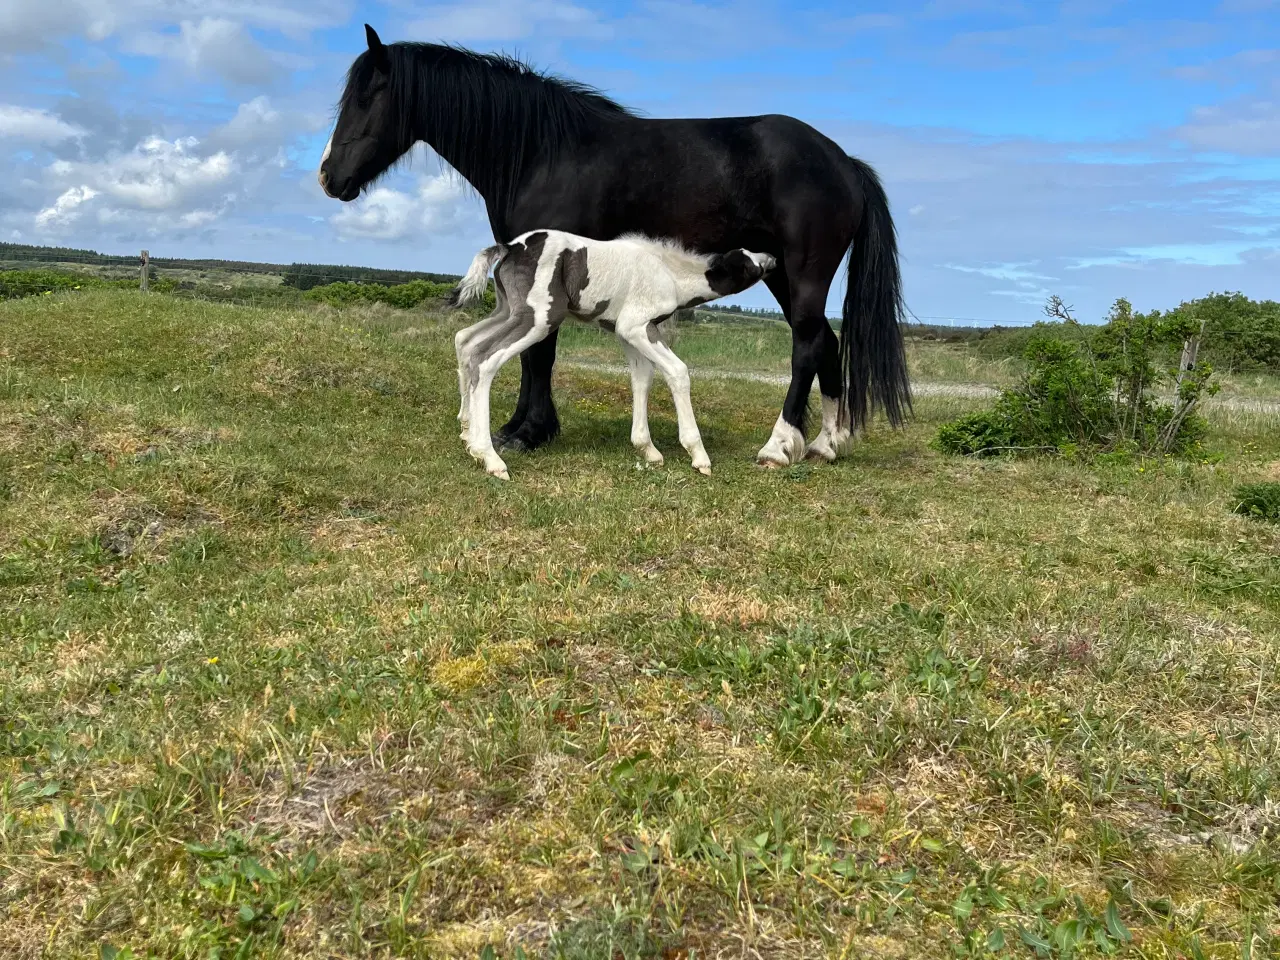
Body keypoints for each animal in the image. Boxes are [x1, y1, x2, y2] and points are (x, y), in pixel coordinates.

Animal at [458, 230, 773, 483]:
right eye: (747, 264)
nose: (771, 258)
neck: (671, 275)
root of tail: (510, 247)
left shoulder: (627, 333)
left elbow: (642, 377)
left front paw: (648, 450)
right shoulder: (637, 326)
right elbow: (678, 371)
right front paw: (699, 456)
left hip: (507, 311)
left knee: (466, 343)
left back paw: (467, 434)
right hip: (538, 319)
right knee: (485, 360)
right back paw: (491, 459)